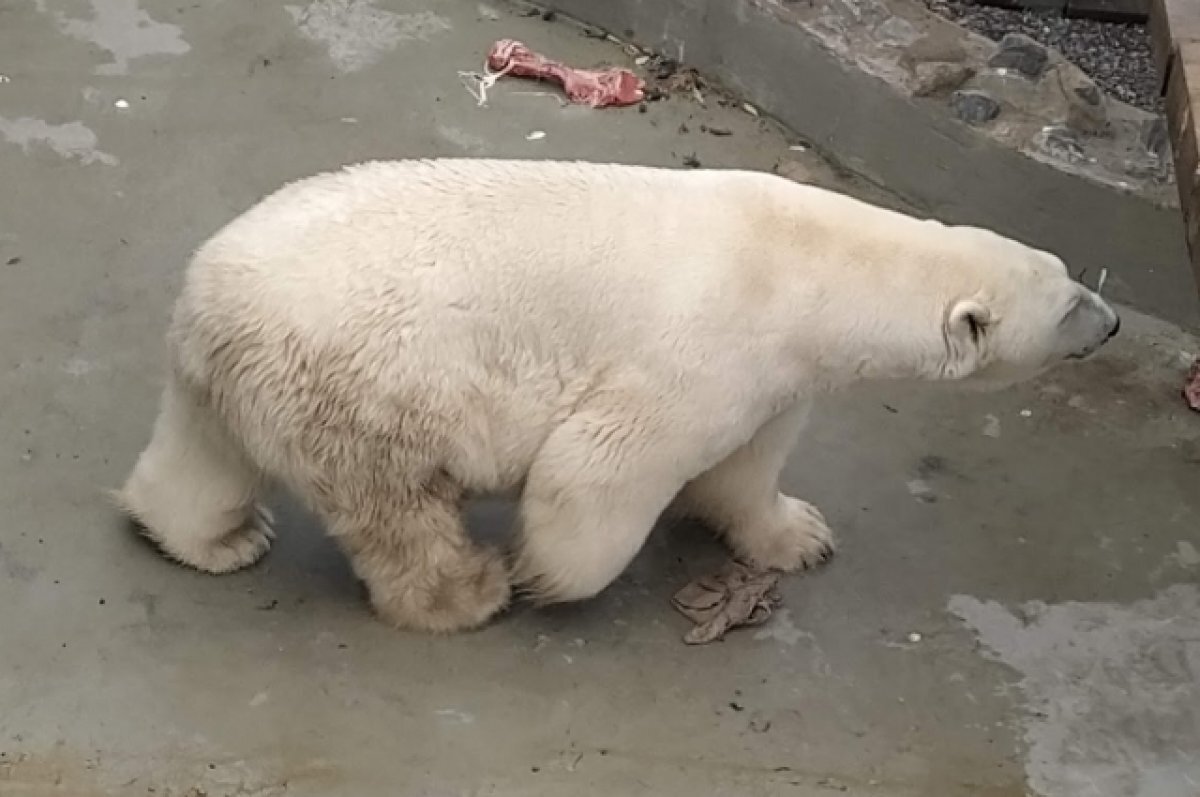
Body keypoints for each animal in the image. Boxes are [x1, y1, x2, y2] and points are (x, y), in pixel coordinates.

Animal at [117, 158, 1118, 633]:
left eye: (1073, 276)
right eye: (1071, 303)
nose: (1110, 324)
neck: (808, 264)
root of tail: (207, 301)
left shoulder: (775, 375)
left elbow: (747, 469)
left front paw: (799, 536)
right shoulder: (706, 349)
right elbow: (602, 468)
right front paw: (547, 573)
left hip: (245, 381)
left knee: (203, 459)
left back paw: (217, 537)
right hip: (366, 385)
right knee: (399, 508)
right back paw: (468, 591)